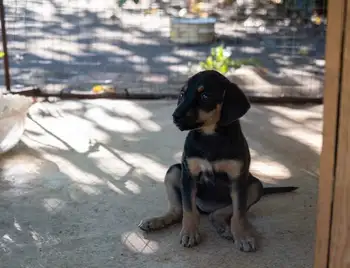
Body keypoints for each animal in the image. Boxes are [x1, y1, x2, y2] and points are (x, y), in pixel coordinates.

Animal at [138, 69, 296, 251]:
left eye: (205, 95)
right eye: (182, 94)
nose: (175, 116)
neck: (210, 136)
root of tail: (206, 208)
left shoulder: (238, 179)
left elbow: (239, 213)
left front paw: (242, 236)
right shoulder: (189, 175)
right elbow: (188, 210)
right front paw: (189, 233)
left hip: (255, 186)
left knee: (220, 213)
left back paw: (224, 227)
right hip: (174, 171)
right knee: (179, 210)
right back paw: (156, 221)